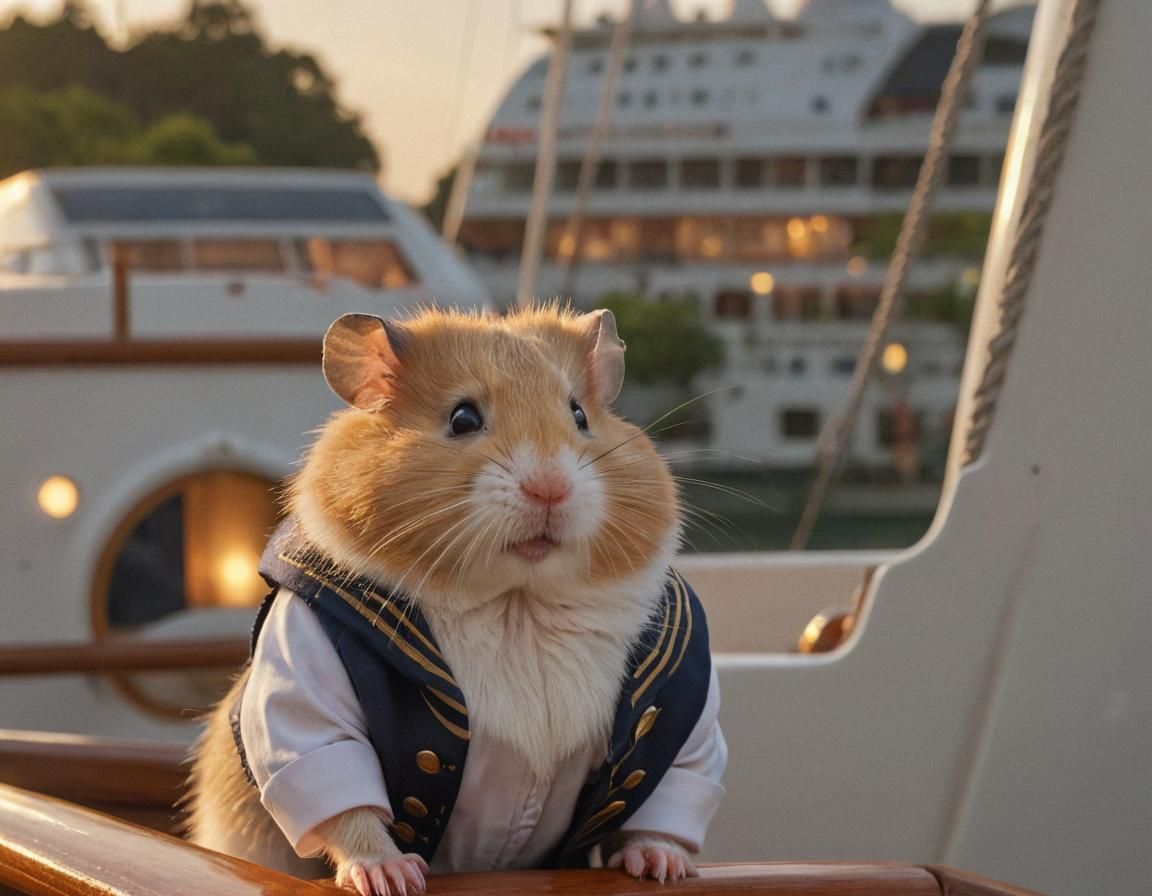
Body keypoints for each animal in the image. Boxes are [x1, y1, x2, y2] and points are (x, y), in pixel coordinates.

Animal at [186, 306, 726, 896]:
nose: (550, 489)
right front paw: (392, 877)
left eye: (580, 414)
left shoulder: (690, 728)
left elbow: (667, 793)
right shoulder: (304, 694)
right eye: (462, 418)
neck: (518, 602)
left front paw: (664, 869)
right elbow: (344, 796)